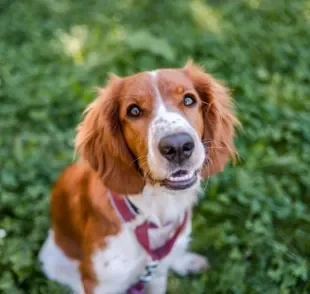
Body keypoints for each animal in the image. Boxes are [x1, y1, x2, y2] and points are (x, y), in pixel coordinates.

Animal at [38, 60, 237, 292]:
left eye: (189, 99)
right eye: (134, 110)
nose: (178, 146)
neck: (152, 213)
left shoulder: (156, 274)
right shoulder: (100, 283)